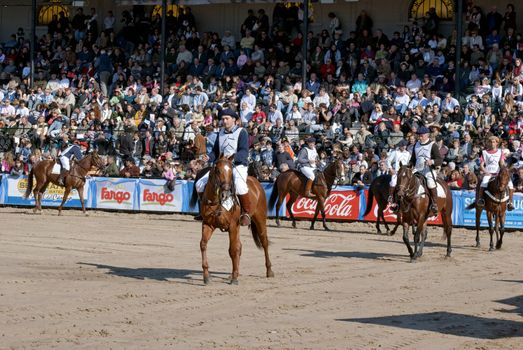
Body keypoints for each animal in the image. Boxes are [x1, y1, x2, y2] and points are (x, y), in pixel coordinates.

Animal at [191, 155, 274, 284]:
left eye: (231, 172)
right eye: (217, 170)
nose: (225, 191)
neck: (216, 201)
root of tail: (256, 181)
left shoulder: (233, 226)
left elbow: (233, 250)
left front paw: (234, 278)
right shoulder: (208, 224)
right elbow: (203, 244)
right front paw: (206, 276)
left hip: (260, 220)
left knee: (264, 243)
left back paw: (269, 271)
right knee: (240, 246)